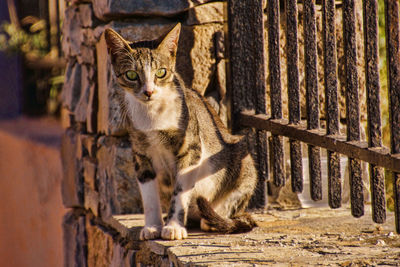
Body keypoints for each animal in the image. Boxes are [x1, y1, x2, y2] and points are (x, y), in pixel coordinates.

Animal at [104, 23, 258, 241]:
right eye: (132, 75)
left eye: (161, 72)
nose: (148, 92)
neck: (153, 117)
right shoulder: (140, 153)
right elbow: (149, 195)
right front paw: (152, 226)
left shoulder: (190, 149)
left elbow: (180, 191)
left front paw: (173, 227)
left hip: (243, 162)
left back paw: (212, 220)